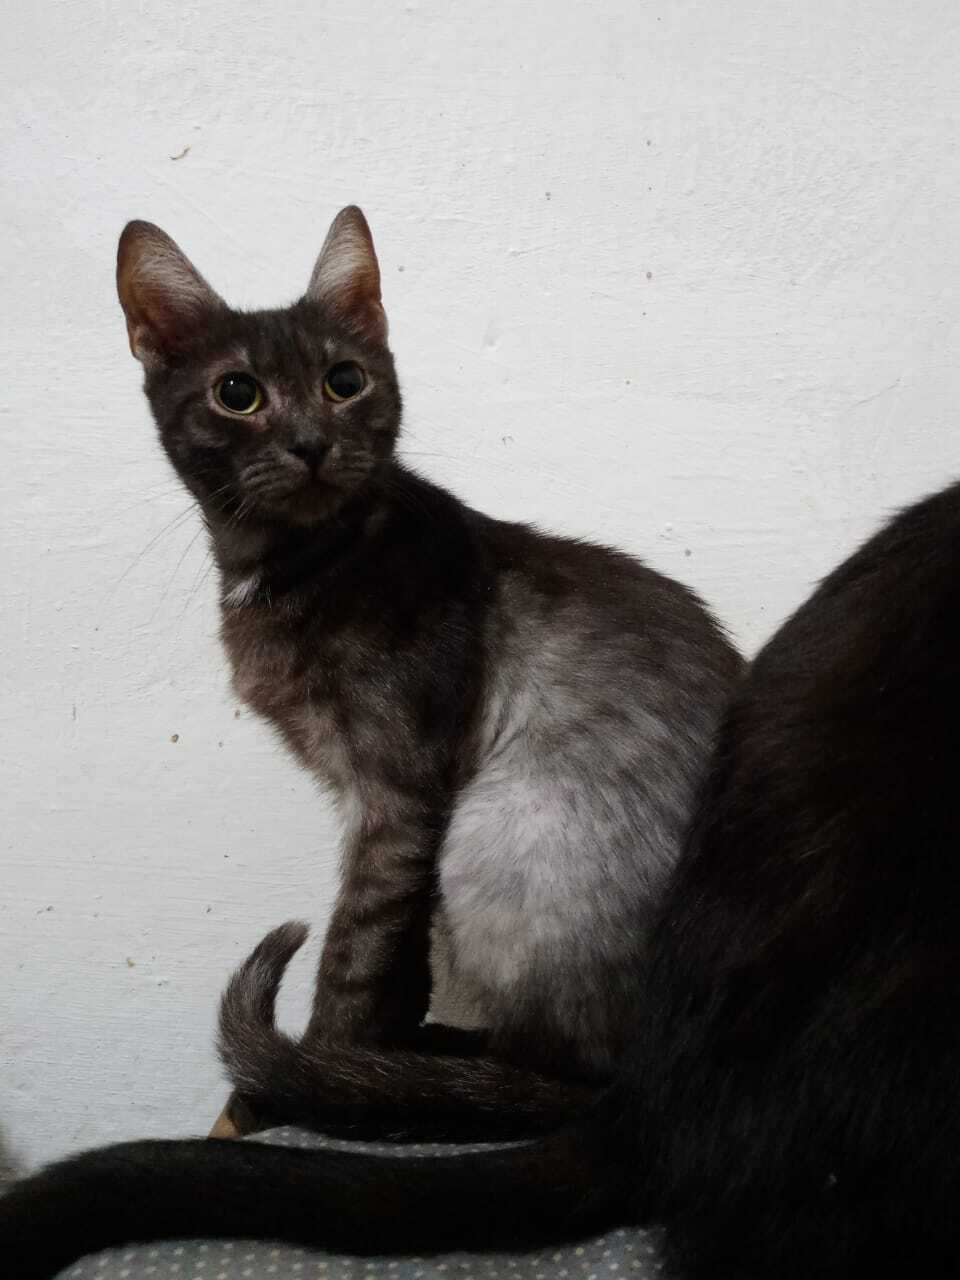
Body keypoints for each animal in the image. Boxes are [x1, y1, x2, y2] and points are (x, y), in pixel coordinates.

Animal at [108, 205, 741, 1141]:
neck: (291, 566)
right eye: (238, 393)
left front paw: (300, 1083)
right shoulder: (378, 811)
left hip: (500, 824)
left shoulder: (398, 798)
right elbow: (396, 963)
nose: (310, 443)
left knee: (563, 1066)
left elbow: (355, 959)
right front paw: (353, 1070)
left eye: (344, 381)